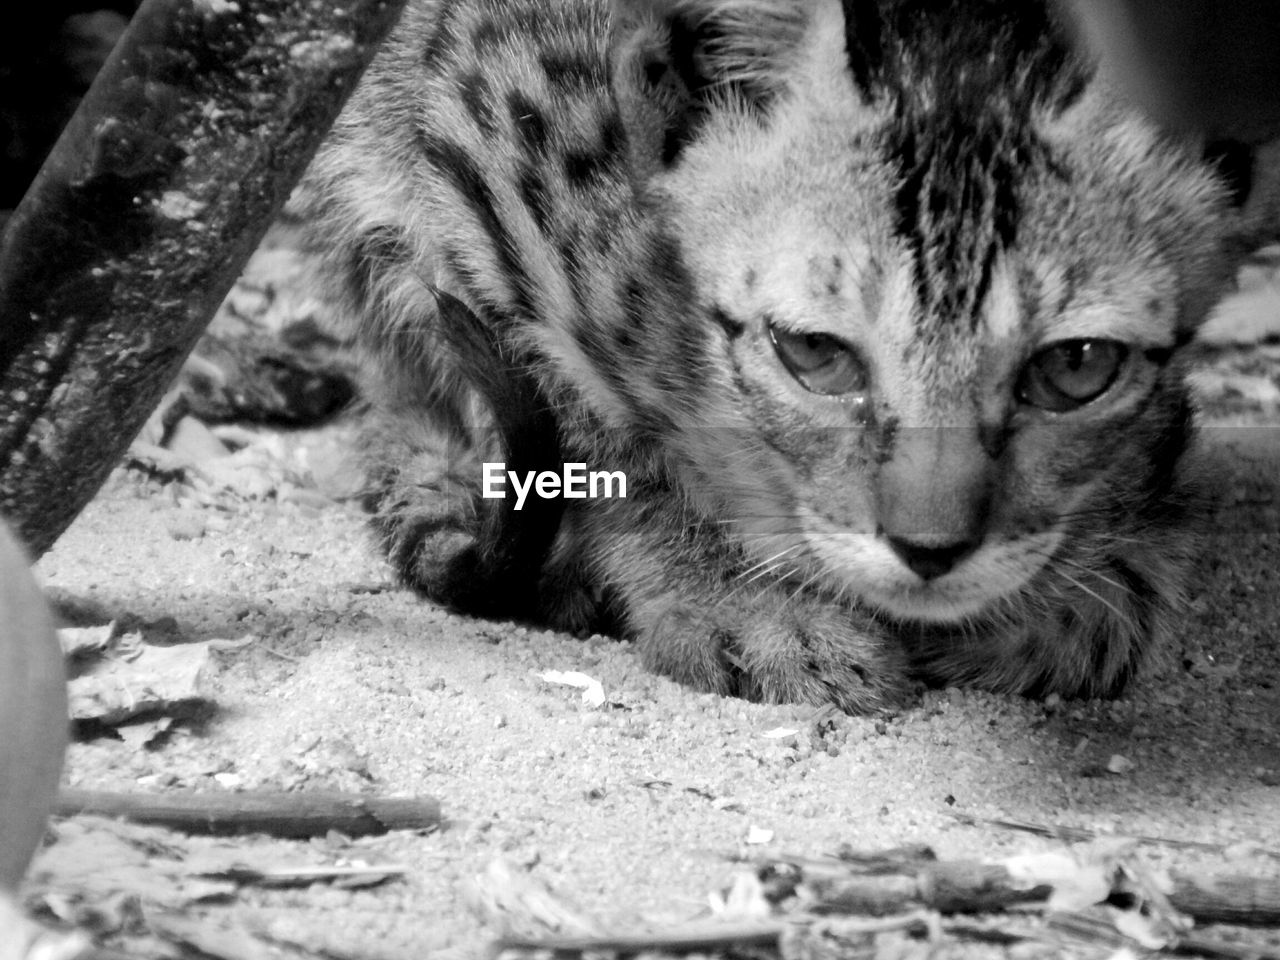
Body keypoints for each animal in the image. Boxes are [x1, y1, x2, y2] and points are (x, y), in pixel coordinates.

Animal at [293, 0, 1249, 716]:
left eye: (1078, 366)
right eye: (814, 354)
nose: (930, 550)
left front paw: (1085, 575)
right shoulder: (491, 140)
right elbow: (590, 416)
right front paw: (736, 596)